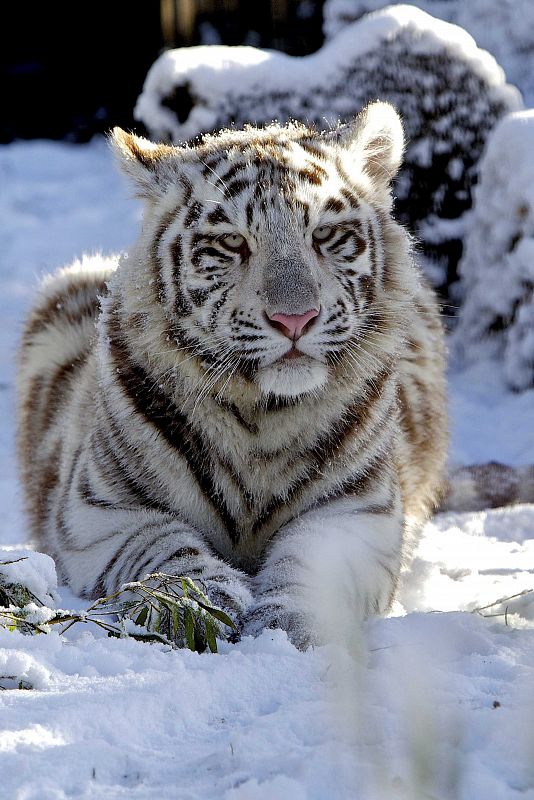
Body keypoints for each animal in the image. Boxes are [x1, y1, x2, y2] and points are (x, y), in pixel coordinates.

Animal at [17, 101, 448, 648]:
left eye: (324, 235)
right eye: (231, 242)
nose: (295, 319)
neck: (260, 413)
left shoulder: (357, 511)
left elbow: (313, 565)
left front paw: (288, 627)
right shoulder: (98, 510)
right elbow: (165, 547)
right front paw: (202, 604)